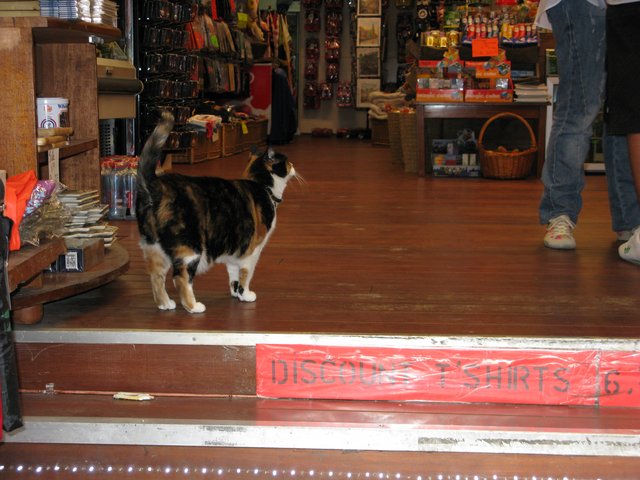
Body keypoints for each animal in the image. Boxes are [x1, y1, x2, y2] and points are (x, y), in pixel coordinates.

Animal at [135, 112, 297, 313]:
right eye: (287, 162)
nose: (294, 166)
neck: (262, 186)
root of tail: (155, 186)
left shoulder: (235, 252)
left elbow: (233, 275)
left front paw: (236, 293)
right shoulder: (251, 251)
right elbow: (246, 276)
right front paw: (246, 295)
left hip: (154, 248)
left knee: (156, 277)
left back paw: (165, 304)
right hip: (190, 248)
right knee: (180, 278)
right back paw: (194, 307)